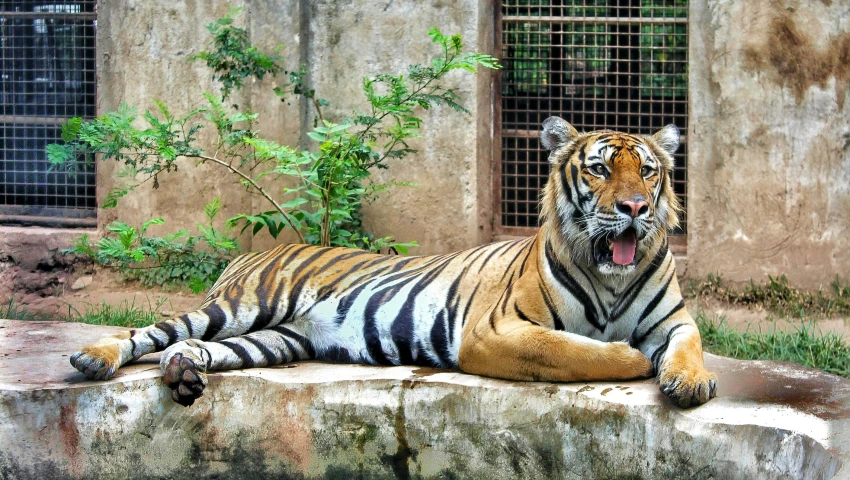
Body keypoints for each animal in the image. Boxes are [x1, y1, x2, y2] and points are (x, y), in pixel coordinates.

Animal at [71, 118, 716, 406]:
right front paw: (632, 359)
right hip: (240, 305)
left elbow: (688, 346)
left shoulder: (675, 321)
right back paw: (93, 359)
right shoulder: (497, 331)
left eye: (648, 171)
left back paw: (183, 372)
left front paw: (689, 379)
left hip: (277, 338)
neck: (613, 279)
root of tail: (258, 248)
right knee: (148, 332)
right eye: (601, 169)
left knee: (196, 348)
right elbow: (578, 352)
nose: (634, 208)